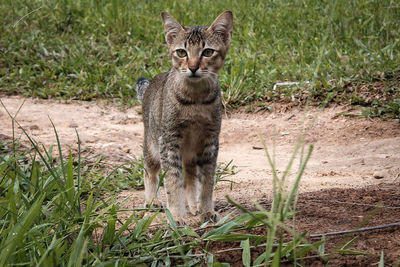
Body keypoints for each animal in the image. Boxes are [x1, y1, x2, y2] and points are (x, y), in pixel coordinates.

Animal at [136, 9, 233, 224]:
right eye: (181, 52)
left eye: (207, 52)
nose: (193, 67)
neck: (196, 100)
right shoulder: (168, 142)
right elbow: (173, 183)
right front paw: (177, 216)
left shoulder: (209, 142)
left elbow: (206, 183)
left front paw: (206, 210)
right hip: (152, 147)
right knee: (149, 172)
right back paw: (152, 200)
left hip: (190, 153)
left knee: (189, 178)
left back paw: (194, 206)